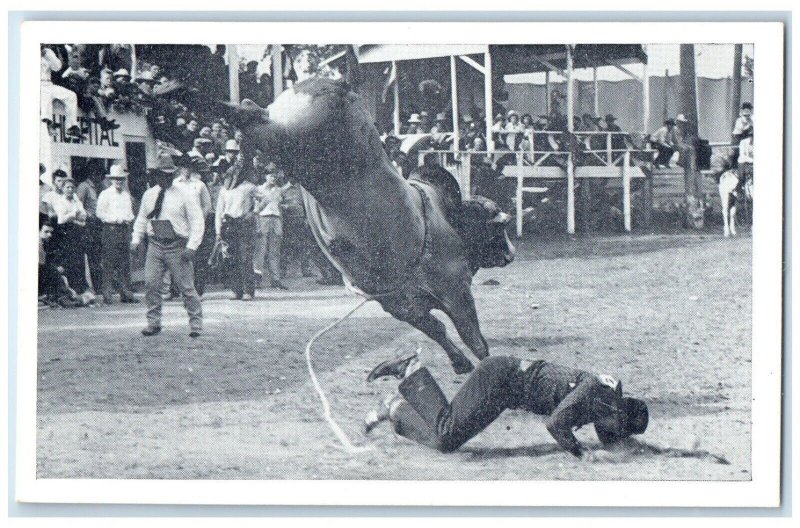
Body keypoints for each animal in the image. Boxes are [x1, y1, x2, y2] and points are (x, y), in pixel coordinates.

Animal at [223, 79, 512, 376]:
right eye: (499, 226)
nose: (510, 254)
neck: (448, 217)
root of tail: (332, 85)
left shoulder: (401, 305)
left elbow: (437, 329)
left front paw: (460, 362)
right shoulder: (455, 289)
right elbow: (473, 338)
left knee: (251, 113)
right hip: (291, 137)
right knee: (258, 122)